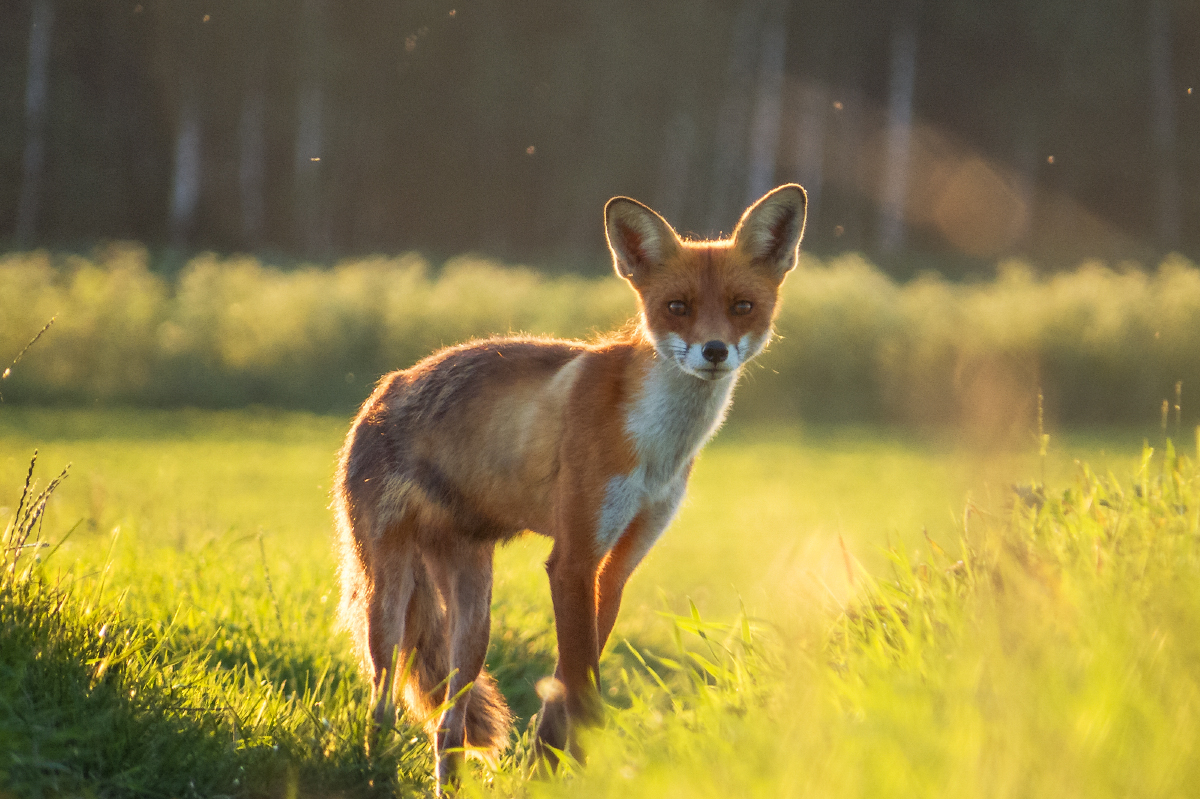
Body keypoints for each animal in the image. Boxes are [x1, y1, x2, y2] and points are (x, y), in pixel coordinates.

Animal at [333, 184, 806, 792]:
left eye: (742, 306)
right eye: (676, 307)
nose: (715, 351)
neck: (657, 445)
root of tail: (382, 391)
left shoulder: (617, 564)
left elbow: (567, 683)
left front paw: (548, 769)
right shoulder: (572, 558)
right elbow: (583, 688)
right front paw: (584, 768)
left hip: (474, 617)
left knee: (448, 726)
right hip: (387, 600)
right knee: (383, 703)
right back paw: (372, 770)